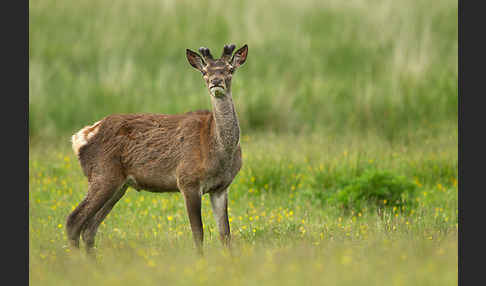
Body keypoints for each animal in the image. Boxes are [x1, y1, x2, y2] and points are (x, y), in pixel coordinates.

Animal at [66, 43, 249, 255]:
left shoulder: (221, 187)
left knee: (89, 228)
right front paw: (200, 260)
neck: (218, 152)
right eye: (205, 72)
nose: (216, 81)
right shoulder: (187, 180)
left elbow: (225, 234)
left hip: (119, 185)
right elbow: (198, 233)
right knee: (74, 220)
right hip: (103, 174)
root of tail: (80, 137)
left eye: (230, 69)